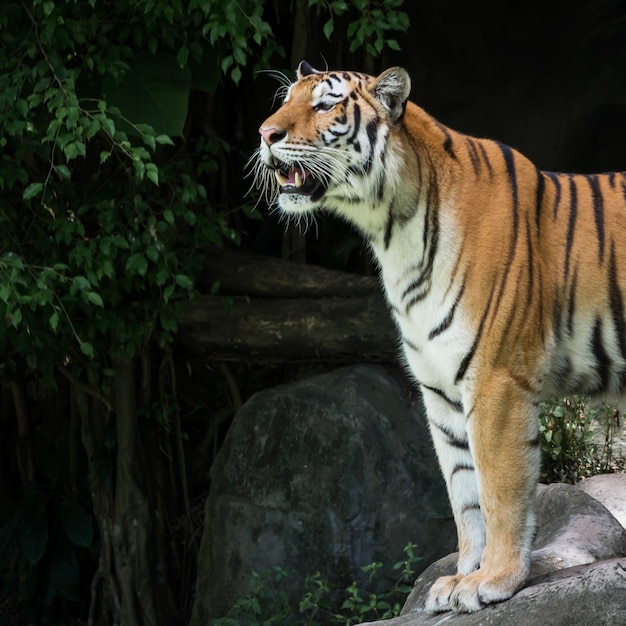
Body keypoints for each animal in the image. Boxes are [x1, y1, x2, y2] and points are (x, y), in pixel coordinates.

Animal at [249, 61, 624, 612]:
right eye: (285, 99)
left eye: (325, 104)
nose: (264, 134)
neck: (393, 230)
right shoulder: (440, 387)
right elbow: (463, 492)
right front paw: (461, 577)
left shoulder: (496, 382)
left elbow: (499, 489)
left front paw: (497, 579)